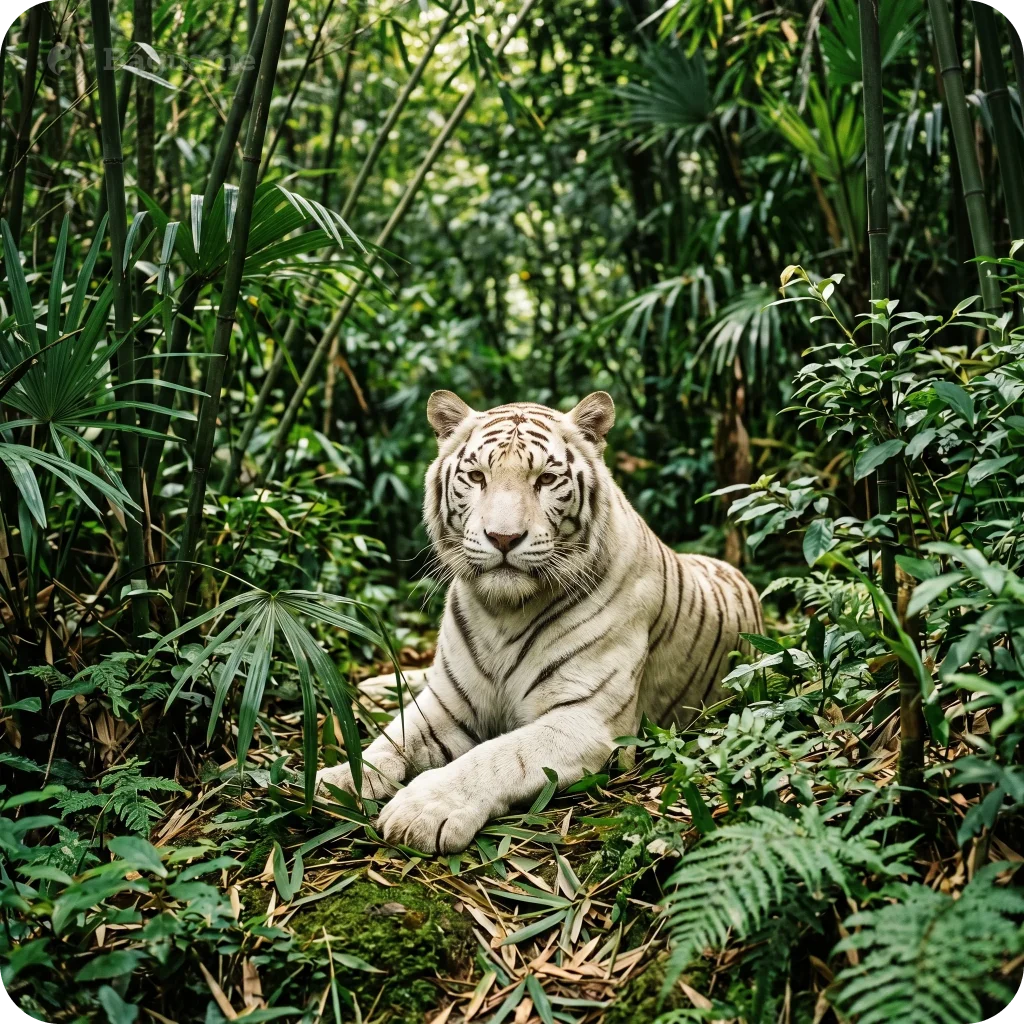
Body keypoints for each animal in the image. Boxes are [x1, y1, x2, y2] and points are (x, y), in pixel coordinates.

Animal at [316, 391, 762, 852]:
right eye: (476, 476)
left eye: (546, 479)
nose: (504, 538)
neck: (501, 612)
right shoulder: (446, 703)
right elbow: (393, 739)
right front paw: (337, 781)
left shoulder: (586, 719)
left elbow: (496, 757)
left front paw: (422, 810)